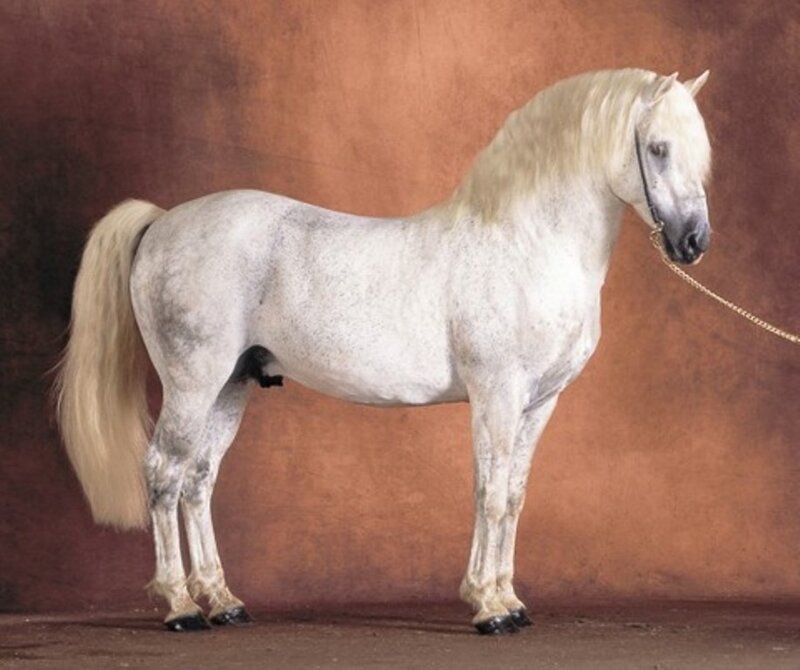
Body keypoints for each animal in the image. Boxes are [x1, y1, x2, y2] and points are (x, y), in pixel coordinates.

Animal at [55, 68, 712, 635]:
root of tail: (164, 222)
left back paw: (223, 601)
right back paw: (180, 607)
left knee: (198, 481)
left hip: (229, 387)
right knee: (163, 476)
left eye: (699, 151)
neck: (526, 243)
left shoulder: (538, 403)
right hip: (193, 384)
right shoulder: (496, 396)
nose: (693, 242)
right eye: (657, 148)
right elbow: (489, 492)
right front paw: (490, 607)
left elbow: (513, 497)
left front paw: (510, 600)